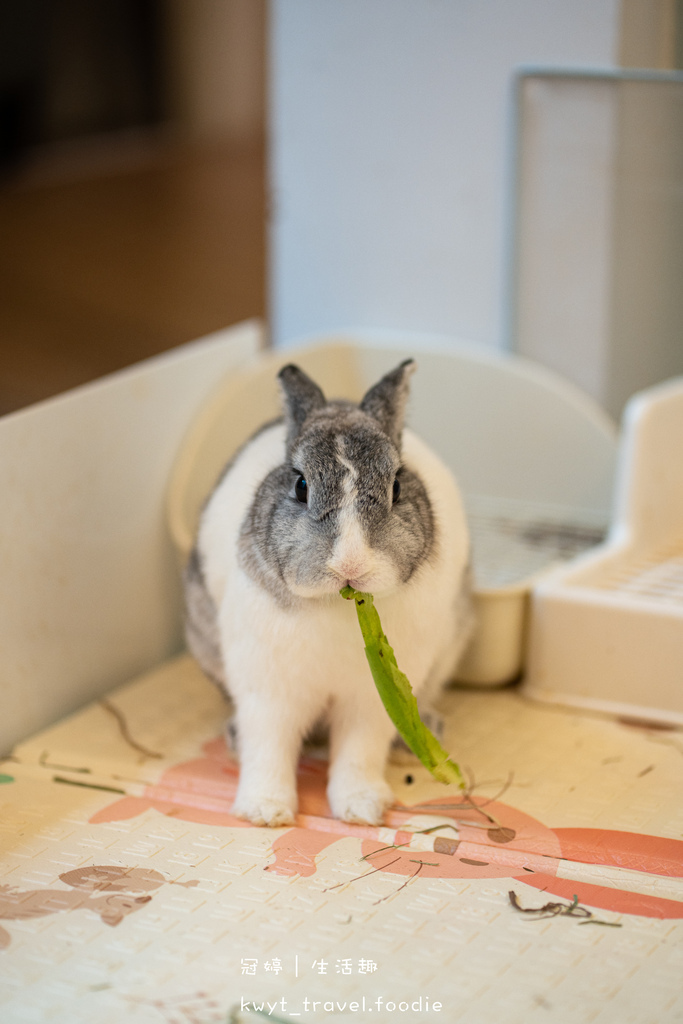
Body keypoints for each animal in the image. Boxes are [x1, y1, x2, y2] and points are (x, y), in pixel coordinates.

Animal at [187, 358, 475, 823]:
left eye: (397, 486)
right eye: (300, 485)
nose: (349, 565)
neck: (339, 607)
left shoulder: (370, 700)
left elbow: (359, 751)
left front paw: (361, 808)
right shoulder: (268, 689)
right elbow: (268, 745)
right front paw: (265, 811)